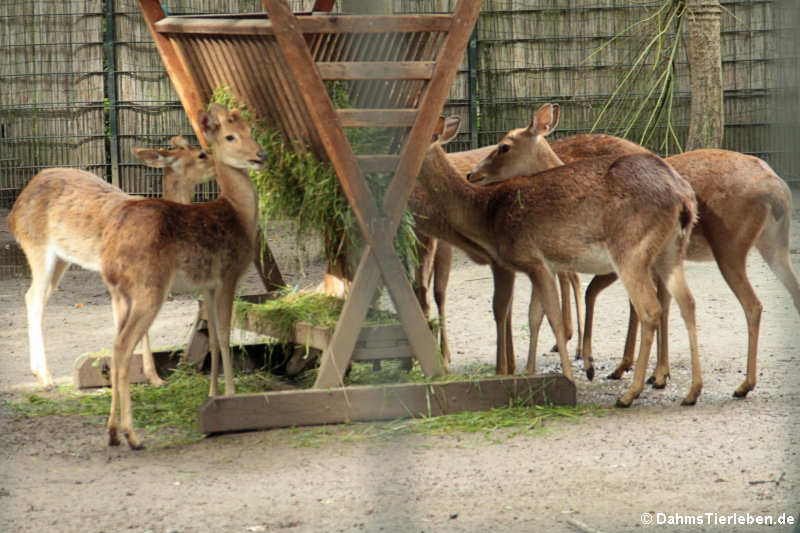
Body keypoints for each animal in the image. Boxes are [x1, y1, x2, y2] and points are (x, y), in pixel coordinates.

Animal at [7, 135, 214, 388]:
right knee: (34, 297)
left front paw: (154, 378)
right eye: (201, 154)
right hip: (37, 246)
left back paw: (40, 373)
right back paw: (46, 378)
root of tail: (13, 214)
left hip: (61, 258)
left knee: (37, 295)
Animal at [422, 114, 704, 406]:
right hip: (670, 252)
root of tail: (685, 200)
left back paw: (630, 393)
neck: (485, 214)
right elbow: (535, 315)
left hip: (631, 252)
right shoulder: (541, 266)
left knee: (650, 309)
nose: (471, 173)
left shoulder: (531, 260)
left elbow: (551, 317)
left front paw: (566, 378)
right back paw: (690, 390)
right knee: (687, 302)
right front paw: (531, 373)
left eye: (504, 146)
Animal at [466, 103, 796, 400]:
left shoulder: (623, 262)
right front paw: (654, 372)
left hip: (729, 248)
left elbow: (622, 302)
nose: (472, 174)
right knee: (790, 292)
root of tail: (778, 190)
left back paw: (742, 385)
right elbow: (656, 305)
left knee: (752, 304)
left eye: (504, 146)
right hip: (773, 246)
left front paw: (614, 367)